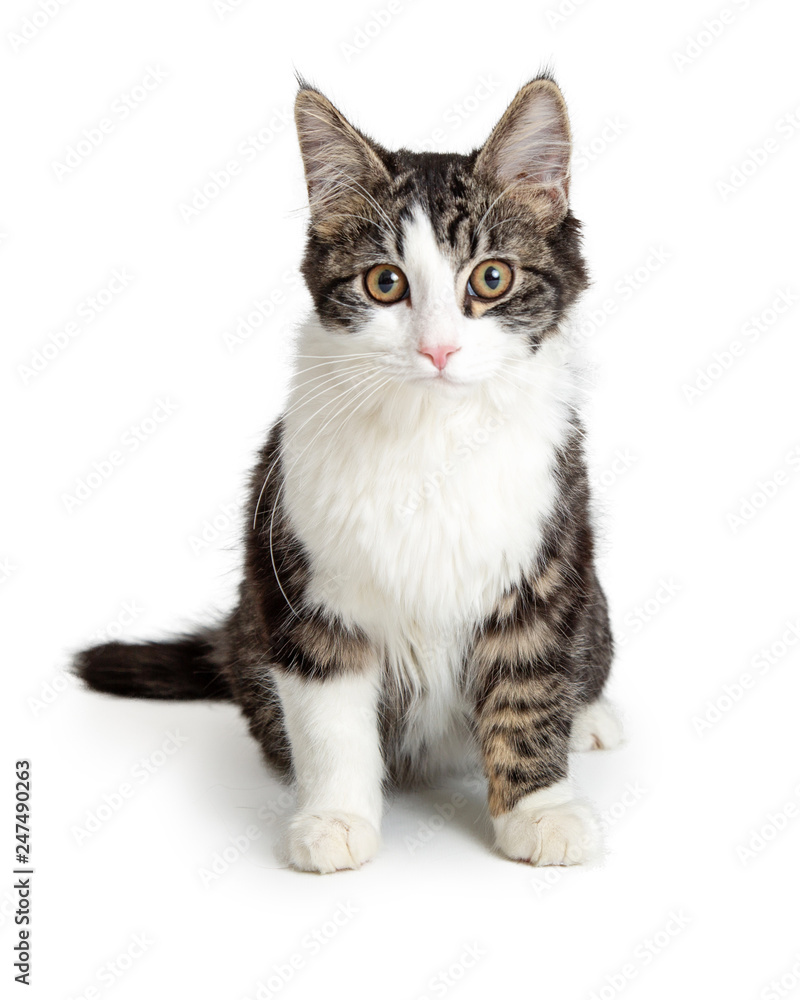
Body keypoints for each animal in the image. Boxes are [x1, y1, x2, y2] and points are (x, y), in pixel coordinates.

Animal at [76, 76, 624, 876]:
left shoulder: (546, 567)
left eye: (491, 278)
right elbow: (330, 722)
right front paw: (335, 817)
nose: (438, 350)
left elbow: (529, 695)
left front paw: (539, 812)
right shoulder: (304, 587)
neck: (432, 435)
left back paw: (592, 720)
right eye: (385, 283)